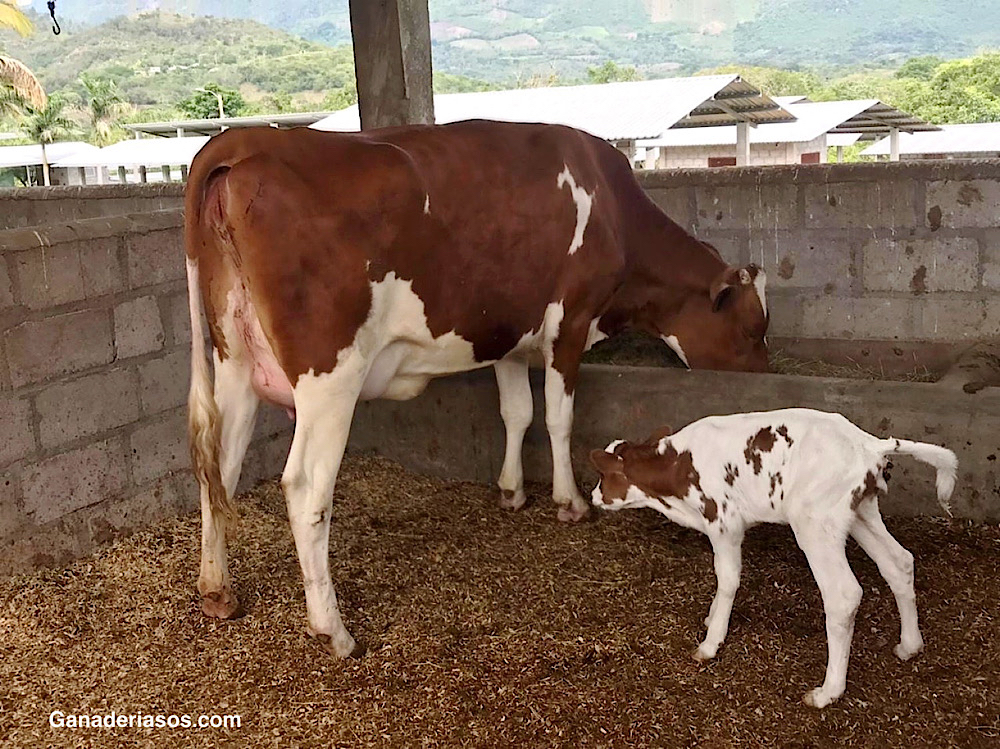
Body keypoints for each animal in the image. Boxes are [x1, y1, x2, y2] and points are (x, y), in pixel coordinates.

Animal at [184, 120, 768, 656]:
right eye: (751, 328)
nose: (762, 378)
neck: (612, 206)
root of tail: (245, 140)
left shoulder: (505, 334)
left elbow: (517, 412)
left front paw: (511, 490)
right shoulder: (570, 321)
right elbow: (558, 417)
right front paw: (570, 502)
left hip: (234, 359)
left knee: (220, 467)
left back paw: (217, 590)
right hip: (330, 377)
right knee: (306, 487)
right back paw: (333, 629)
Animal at [588, 410, 956, 708]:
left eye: (605, 477)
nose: (593, 497)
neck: (677, 470)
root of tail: (868, 445)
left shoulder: (724, 522)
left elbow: (728, 579)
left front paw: (710, 643)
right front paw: (710, 620)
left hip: (814, 523)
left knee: (843, 595)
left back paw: (827, 692)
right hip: (860, 513)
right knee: (899, 562)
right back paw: (909, 645)